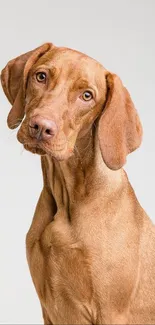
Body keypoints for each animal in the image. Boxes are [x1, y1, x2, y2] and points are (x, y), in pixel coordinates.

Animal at [1, 43, 155, 324]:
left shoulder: (111, 312)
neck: (68, 199)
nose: (41, 127)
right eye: (41, 76)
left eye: (86, 96)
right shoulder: (48, 308)